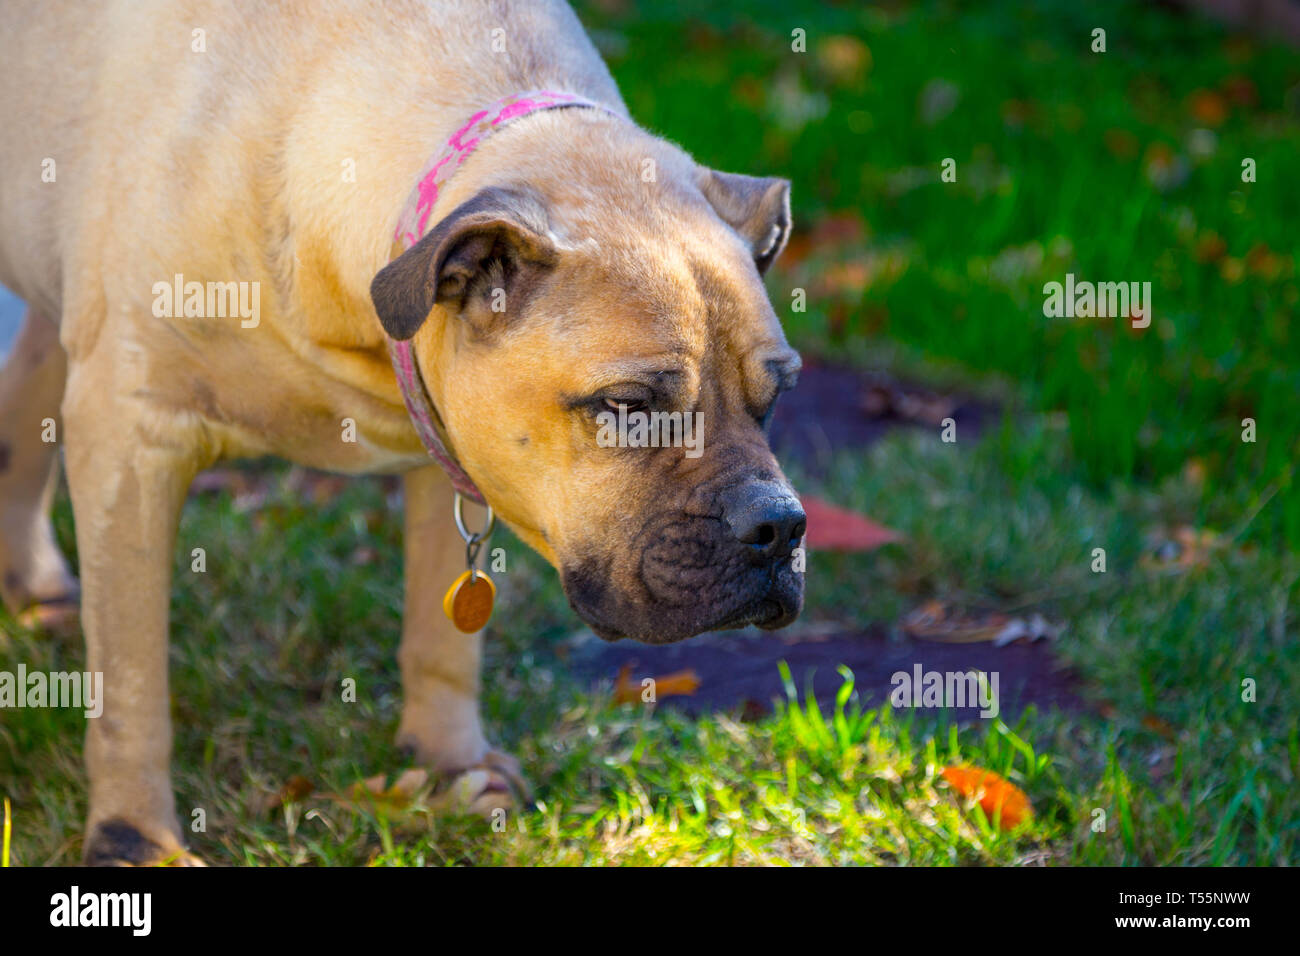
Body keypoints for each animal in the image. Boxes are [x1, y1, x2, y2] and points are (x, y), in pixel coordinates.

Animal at [0, 0, 800, 868]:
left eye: (777, 396)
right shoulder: (132, 436)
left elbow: (441, 638)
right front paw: (134, 838)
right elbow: (132, 681)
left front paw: (449, 764)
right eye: (627, 405)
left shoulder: (444, 436)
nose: (779, 525)